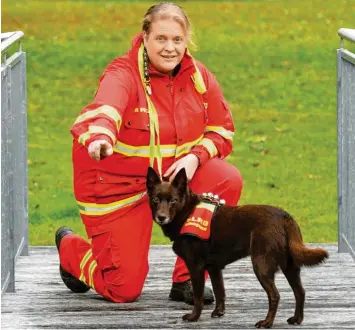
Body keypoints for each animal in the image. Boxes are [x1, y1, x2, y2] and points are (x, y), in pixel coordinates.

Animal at [146, 168, 330, 328]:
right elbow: (219, 290)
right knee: (300, 292)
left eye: (173, 200)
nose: (161, 217)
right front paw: (218, 313)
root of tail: (284, 216)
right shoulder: (214, 268)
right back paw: (297, 319)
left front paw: (193, 317)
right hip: (290, 266)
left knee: (275, 295)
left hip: (261, 265)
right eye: (155, 199)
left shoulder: (196, 267)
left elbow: (198, 297)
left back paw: (267, 322)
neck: (187, 212)